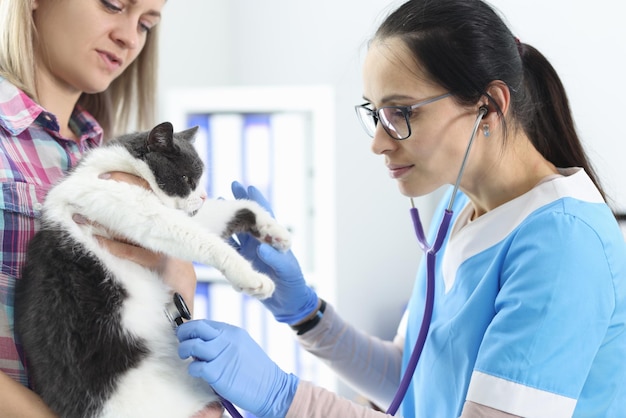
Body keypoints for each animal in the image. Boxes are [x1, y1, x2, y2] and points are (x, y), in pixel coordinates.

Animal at [14, 121, 288, 418]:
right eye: (187, 179)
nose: (203, 196)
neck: (121, 164)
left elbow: (227, 212)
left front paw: (271, 228)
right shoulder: (135, 207)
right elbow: (197, 237)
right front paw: (250, 276)